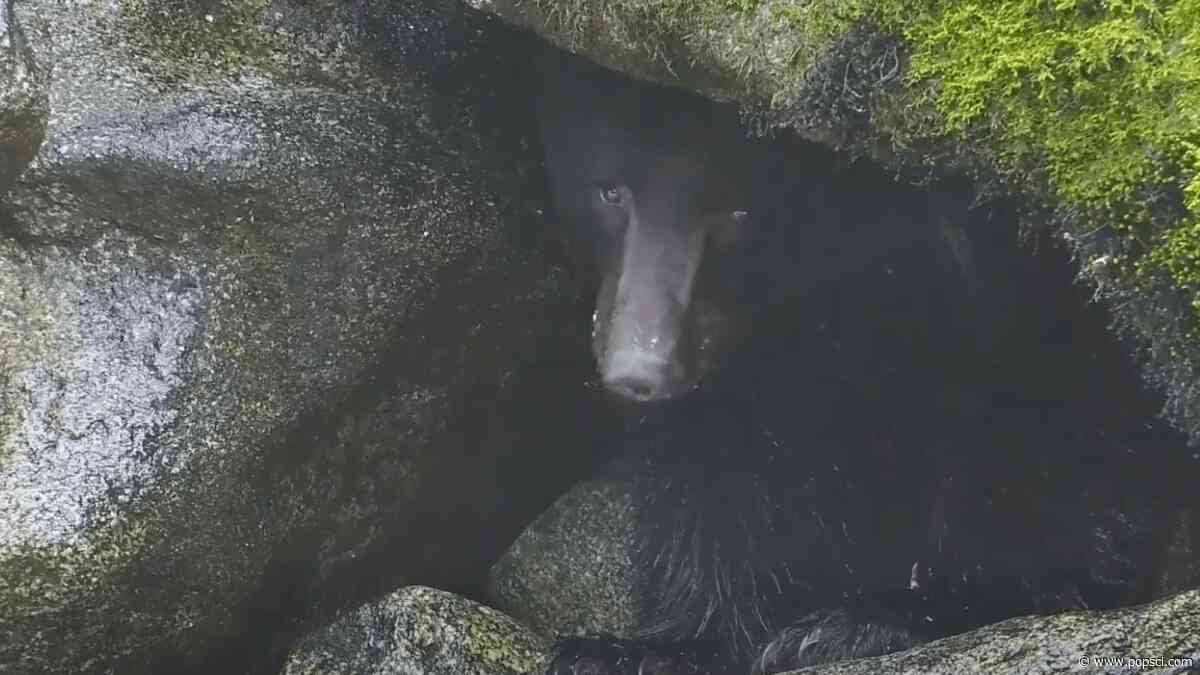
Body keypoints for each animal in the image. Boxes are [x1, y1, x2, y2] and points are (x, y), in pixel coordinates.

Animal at [534, 48, 1187, 675]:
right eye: (610, 191)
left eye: (739, 213)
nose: (641, 371)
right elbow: (719, 460)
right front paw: (646, 645)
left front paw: (868, 620)